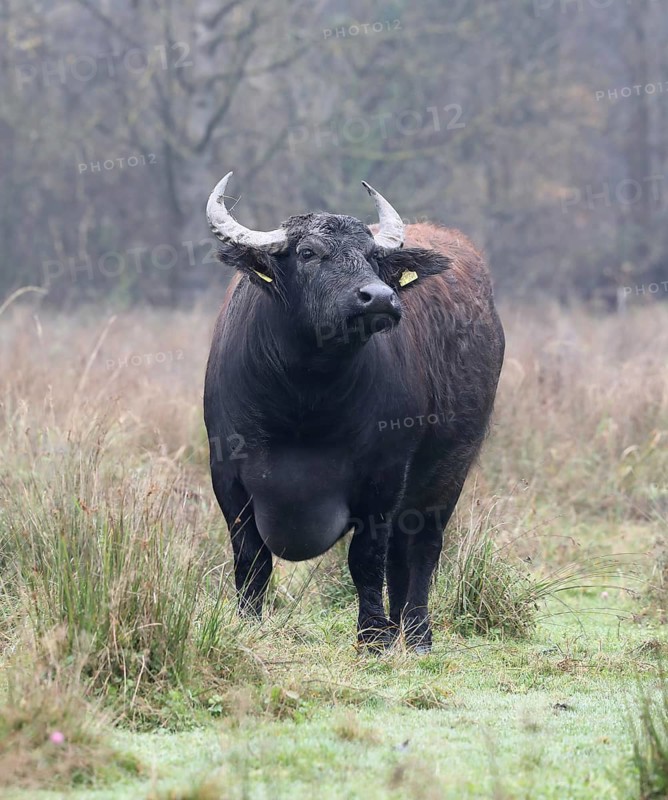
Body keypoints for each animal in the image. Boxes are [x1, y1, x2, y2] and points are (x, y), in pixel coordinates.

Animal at [203, 172, 504, 653]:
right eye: (308, 253)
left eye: (372, 257)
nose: (378, 298)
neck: (305, 404)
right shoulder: (226, 475)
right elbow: (251, 558)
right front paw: (247, 624)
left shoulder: (383, 476)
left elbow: (365, 558)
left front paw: (373, 636)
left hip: (448, 472)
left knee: (420, 547)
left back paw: (415, 632)